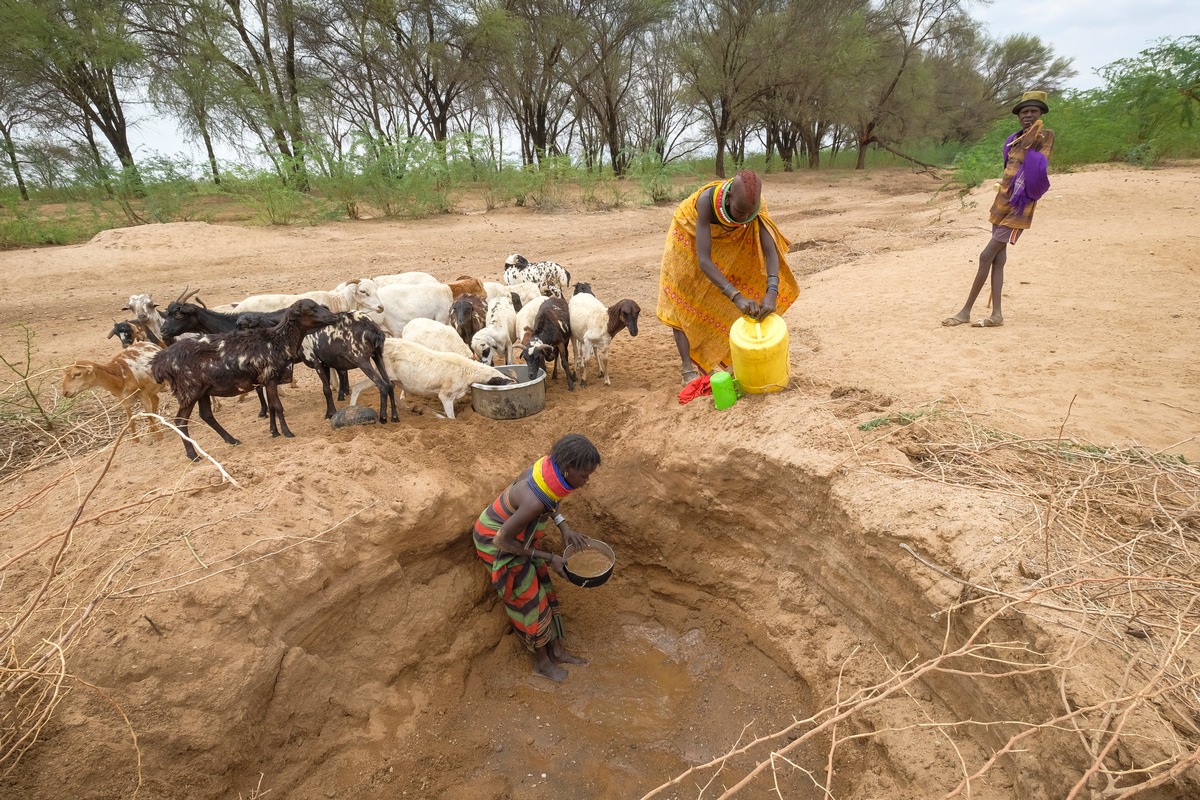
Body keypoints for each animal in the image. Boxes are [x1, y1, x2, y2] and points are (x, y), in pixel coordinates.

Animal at [350, 335, 513, 419]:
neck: (468, 371)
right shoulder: (446, 395)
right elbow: (451, 418)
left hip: (391, 378)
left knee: (389, 389)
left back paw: (405, 407)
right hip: (382, 373)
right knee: (358, 387)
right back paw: (351, 408)